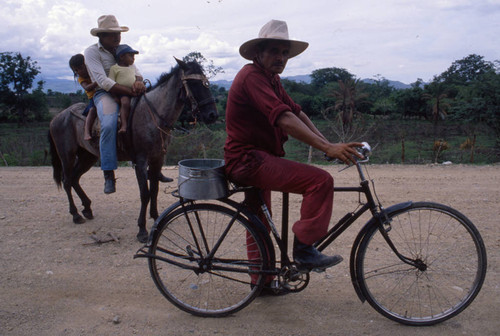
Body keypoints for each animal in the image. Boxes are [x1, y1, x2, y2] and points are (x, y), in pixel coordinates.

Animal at [48, 58, 217, 242]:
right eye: (193, 83)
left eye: (206, 82)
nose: (212, 114)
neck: (153, 115)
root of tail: (58, 117)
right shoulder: (140, 162)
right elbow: (145, 193)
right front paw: (142, 229)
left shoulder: (157, 159)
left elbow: (155, 190)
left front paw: (156, 217)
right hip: (67, 155)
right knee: (67, 180)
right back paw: (76, 214)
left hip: (87, 156)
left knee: (74, 179)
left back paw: (87, 208)